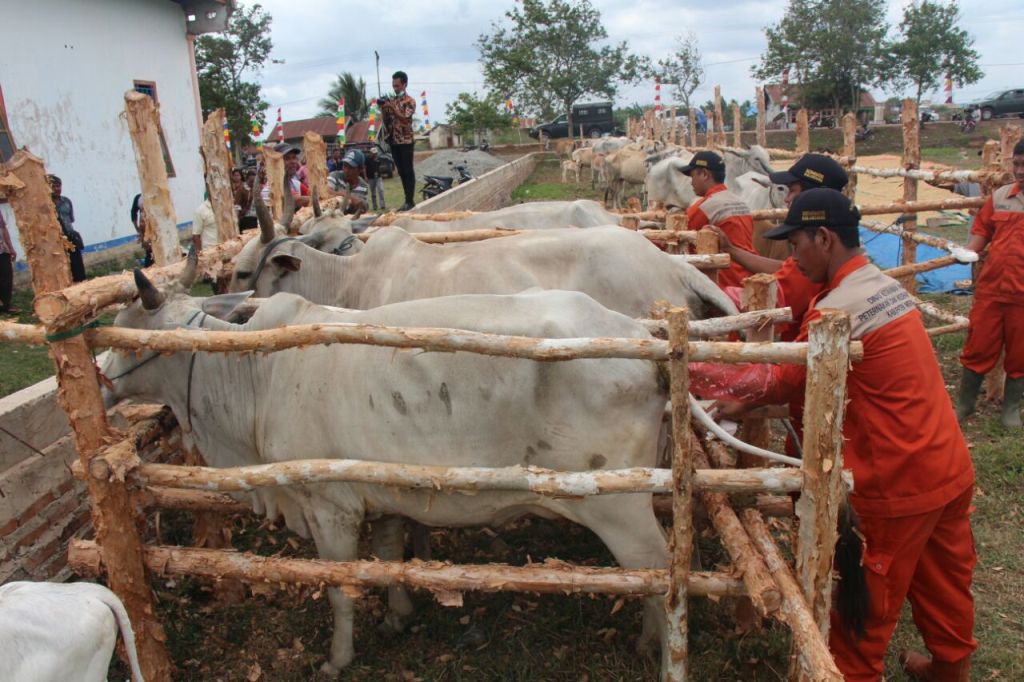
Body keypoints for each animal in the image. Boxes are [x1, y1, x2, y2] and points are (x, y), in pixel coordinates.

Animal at [103, 274, 675, 675]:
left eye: (129, 338)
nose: (105, 381)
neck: (252, 376)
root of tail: (642, 339)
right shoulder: (385, 493)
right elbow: (388, 555)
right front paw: (399, 615)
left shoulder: (329, 507)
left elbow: (341, 589)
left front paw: (338, 658)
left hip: (617, 505)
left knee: (659, 568)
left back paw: (654, 644)